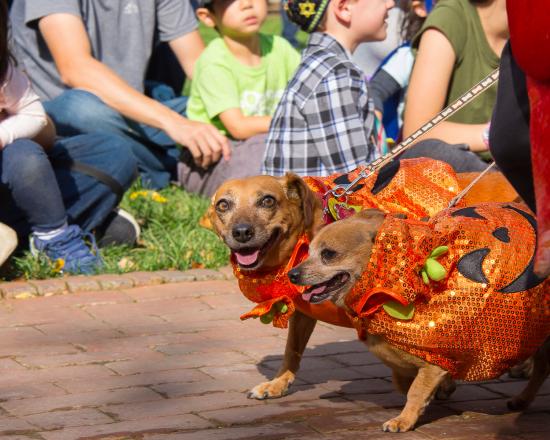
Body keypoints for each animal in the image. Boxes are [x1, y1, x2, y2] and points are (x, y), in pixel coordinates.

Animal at [292, 208, 548, 432]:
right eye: (309, 250)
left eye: (328, 254)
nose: (291, 274)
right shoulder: (407, 366)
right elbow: (405, 385)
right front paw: (436, 395)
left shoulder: (434, 361)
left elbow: (415, 391)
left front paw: (403, 421)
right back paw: (522, 400)